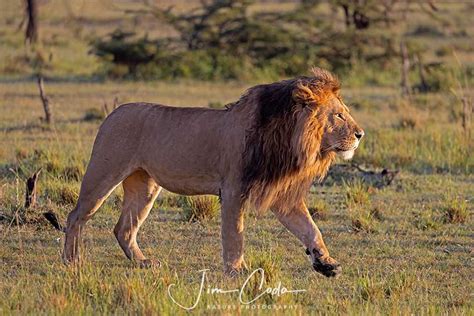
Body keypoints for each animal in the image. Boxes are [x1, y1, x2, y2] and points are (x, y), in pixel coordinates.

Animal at [51, 66, 362, 276]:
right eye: (338, 115)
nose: (360, 134)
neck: (290, 138)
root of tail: (114, 112)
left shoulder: (281, 195)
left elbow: (310, 228)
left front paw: (325, 262)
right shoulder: (234, 188)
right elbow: (234, 233)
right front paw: (237, 270)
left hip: (145, 185)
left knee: (123, 228)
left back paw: (143, 262)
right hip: (103, 173)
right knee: (76, 215)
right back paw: (72, 261)